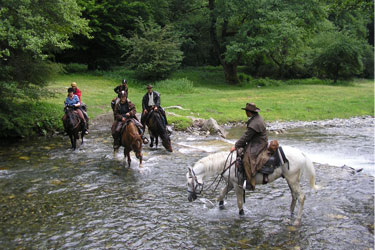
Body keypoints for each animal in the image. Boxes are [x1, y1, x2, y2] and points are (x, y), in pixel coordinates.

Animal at [187, 146, 322, 227]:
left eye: (189, 182)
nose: (189, 198)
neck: (227, 163)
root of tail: (301, 153)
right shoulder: (230, 183)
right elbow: (221, 195)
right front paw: (220, 206)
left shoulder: (237, 185)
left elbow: (239, 203)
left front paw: (242, 214)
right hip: (291, 180)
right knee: (294, 196)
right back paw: (290, 213)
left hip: (293, 179)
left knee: (301, 197)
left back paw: (297, 221)